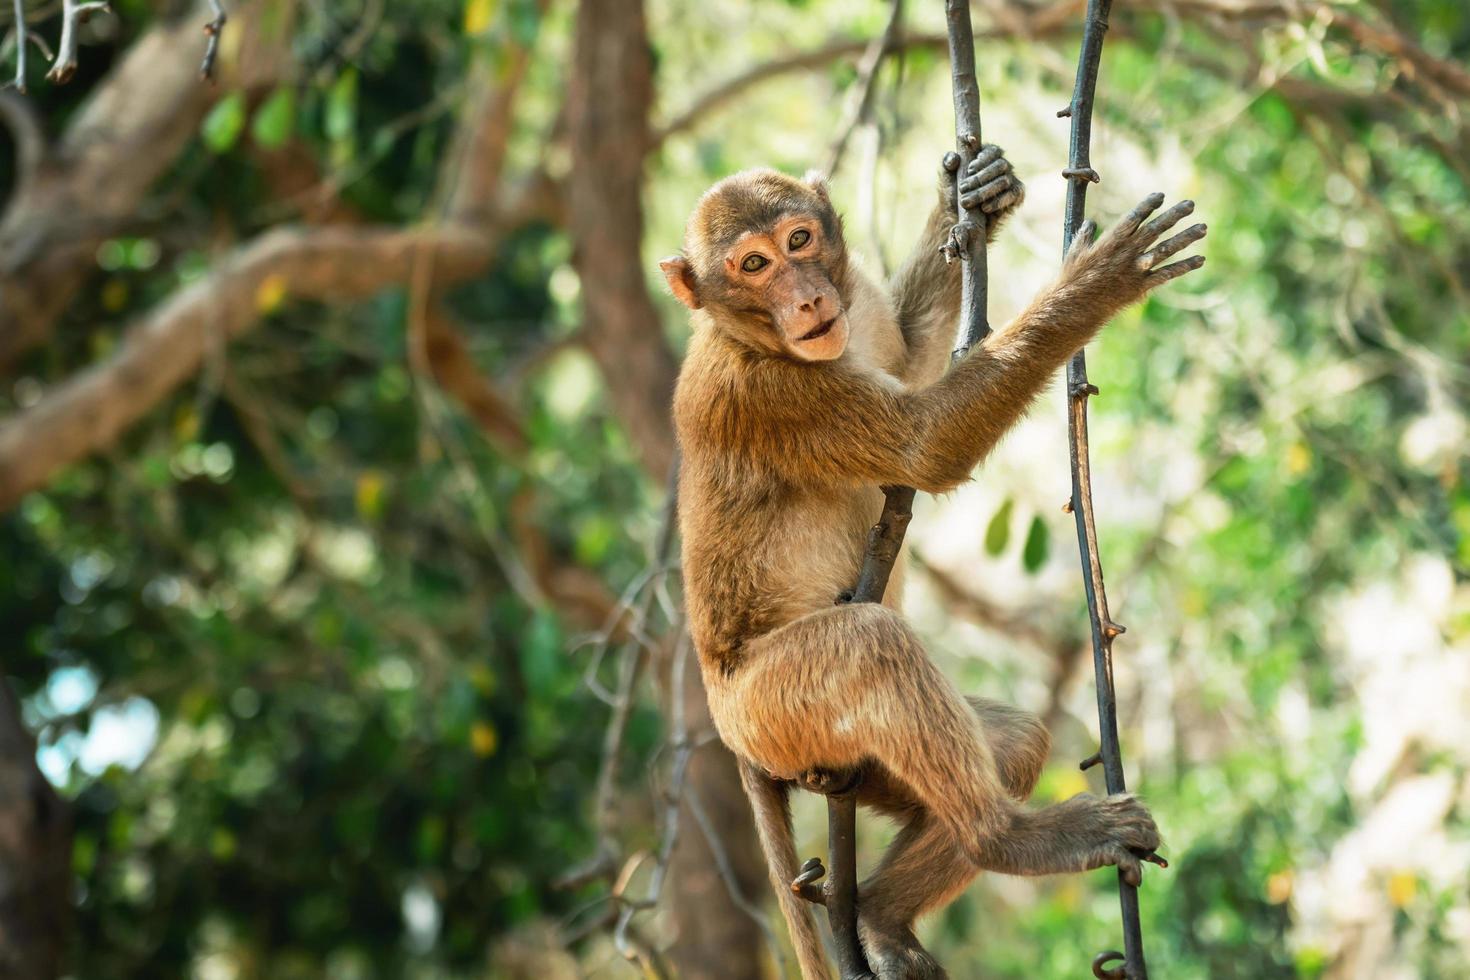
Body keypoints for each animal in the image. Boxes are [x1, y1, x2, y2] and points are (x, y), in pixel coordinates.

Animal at [667, 147, 1205, 980]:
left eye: (797, 241)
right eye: (752, 265)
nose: (807, 297)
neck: (747, 337)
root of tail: (740, 746)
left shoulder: (857, 308)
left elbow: (914, 359)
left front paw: (974, 190)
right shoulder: (770, 393)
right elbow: (926, 444)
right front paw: (1099, 282)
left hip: (834, 754)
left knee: (1010, 746)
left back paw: (883, 917)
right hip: (774, 710)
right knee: (871, 645)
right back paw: (1009, 840)